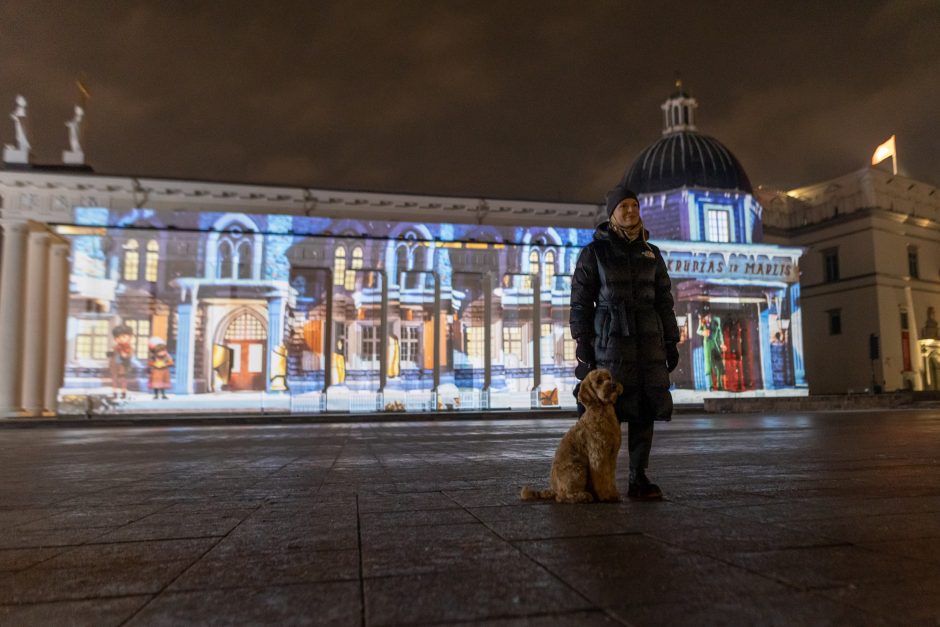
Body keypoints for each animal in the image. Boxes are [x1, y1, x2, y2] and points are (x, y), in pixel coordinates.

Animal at [520, 368, 624, 506]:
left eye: (609, 377)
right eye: (599, 381)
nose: (613, 385)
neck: (602, 412)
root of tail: (553, 488)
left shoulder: (612, 455)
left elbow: (610, 476)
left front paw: (613, 493)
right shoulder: (598, 456)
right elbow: (603, 477)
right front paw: (607, 496)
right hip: (578, 469)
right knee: (562, 496)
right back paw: (583, 496)